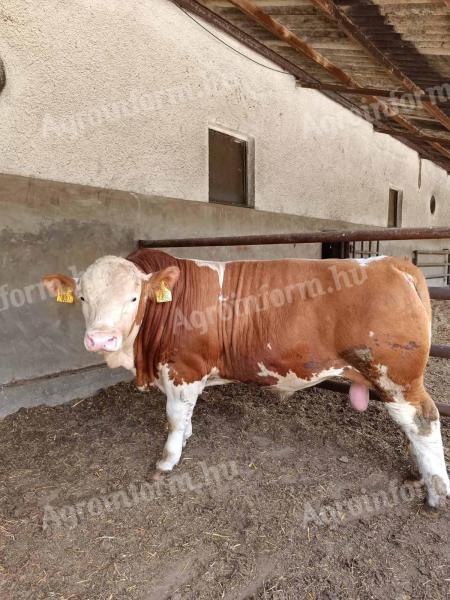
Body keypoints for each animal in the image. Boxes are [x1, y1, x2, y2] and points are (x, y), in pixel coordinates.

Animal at [41, 248, 446, 506]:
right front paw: (186, 438)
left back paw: (436, 491)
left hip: (398, 377)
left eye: (133, 298)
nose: (100, 339)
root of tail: (392, 263)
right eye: (82, 297)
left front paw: (168, 460)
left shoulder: (184, 368)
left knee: (425, 420)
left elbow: (173, 416)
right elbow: (185, 415)